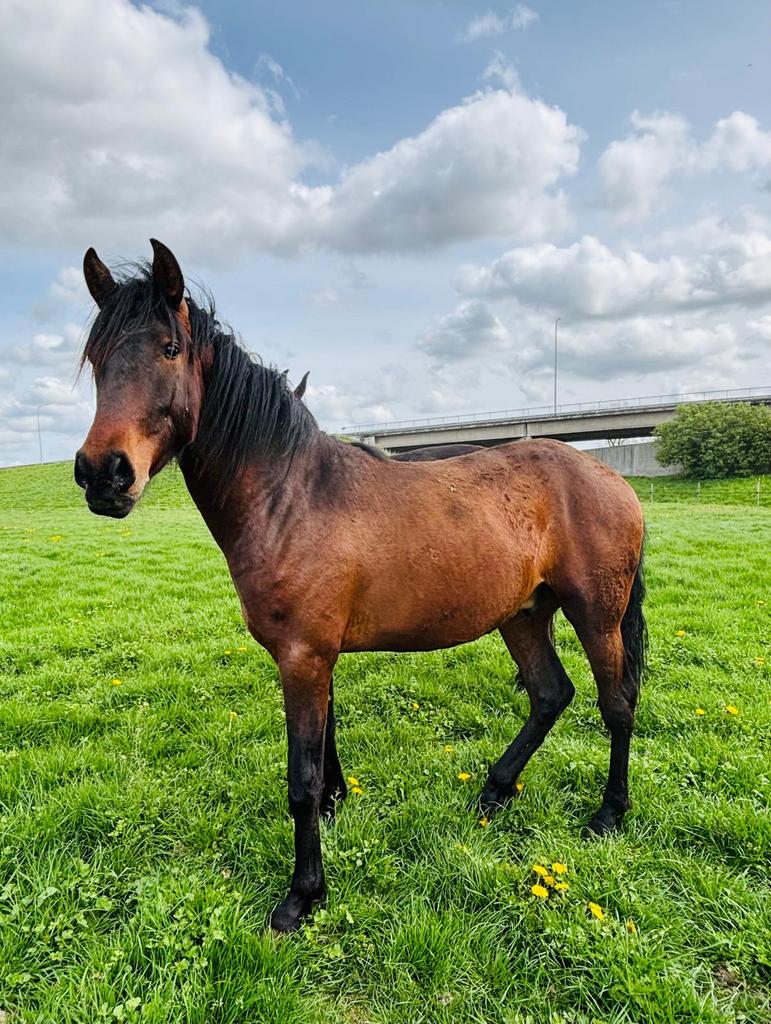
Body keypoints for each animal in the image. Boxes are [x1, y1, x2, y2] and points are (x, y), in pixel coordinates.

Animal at [75, 241, 647, 933]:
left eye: (168, 348)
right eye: (97, 356)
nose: (103, 474)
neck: (290, 497)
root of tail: (612, 481)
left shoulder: (303, 656)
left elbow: (299, 776)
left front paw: (302, 894)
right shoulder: (314, 656)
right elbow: (325, 747)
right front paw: (335, 805)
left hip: (597, 615)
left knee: (616, 704)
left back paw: (607, 814)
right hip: (524, 614)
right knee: (549, 695)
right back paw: (494, 791)